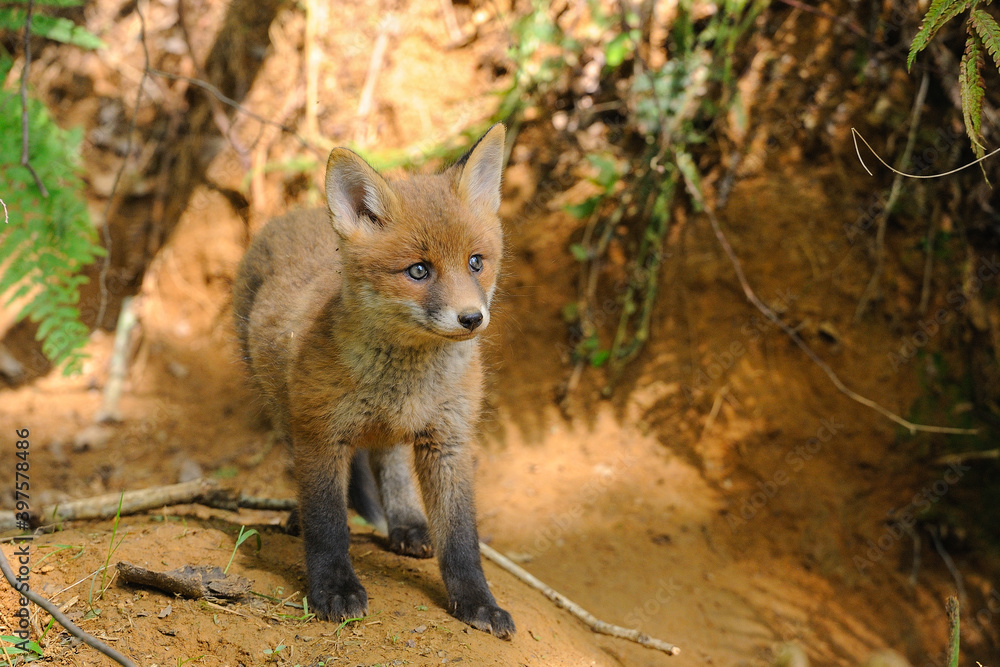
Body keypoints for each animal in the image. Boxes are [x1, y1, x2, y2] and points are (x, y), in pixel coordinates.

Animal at [232, 124, 514, 639]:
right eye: (418, 270)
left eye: (476, 262)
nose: (472, 319)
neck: (403, 383)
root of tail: (297, 212)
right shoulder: (321, 433)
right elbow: (328, 525)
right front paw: (334, 589)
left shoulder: (449, 439)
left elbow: (461, 537)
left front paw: (477, 602)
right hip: (283, 409)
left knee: (391, 458)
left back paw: (407, 523)